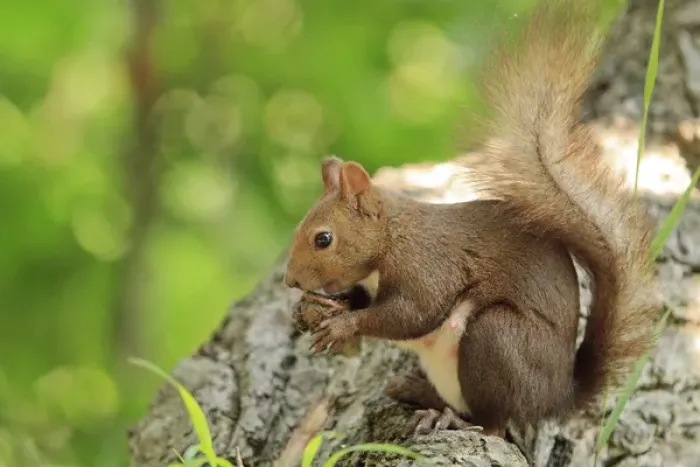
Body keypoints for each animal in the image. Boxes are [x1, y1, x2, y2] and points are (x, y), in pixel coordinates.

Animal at [283, 0, 660, 438]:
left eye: (323, 239)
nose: (290, 281)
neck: (392, 238)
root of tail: (553, 399)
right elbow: (367, 301)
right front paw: (320, 310)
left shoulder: (428, 266)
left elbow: (409, 314)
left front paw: (343, 325)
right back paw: (419, 392)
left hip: (496, 339)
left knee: (494, 422)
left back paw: (450, 418)